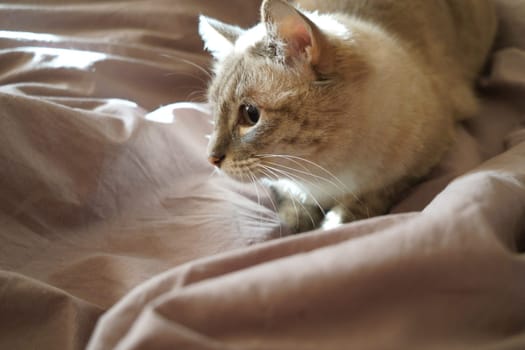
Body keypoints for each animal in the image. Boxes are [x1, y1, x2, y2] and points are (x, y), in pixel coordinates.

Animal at [196, 1, 496, 234]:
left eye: (251, 115)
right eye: (214, 112)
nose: (211, 159)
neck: (320, 172)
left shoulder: (426, 154)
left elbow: (373, 195)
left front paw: (335, 222)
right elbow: (292, 206)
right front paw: (300, 220)